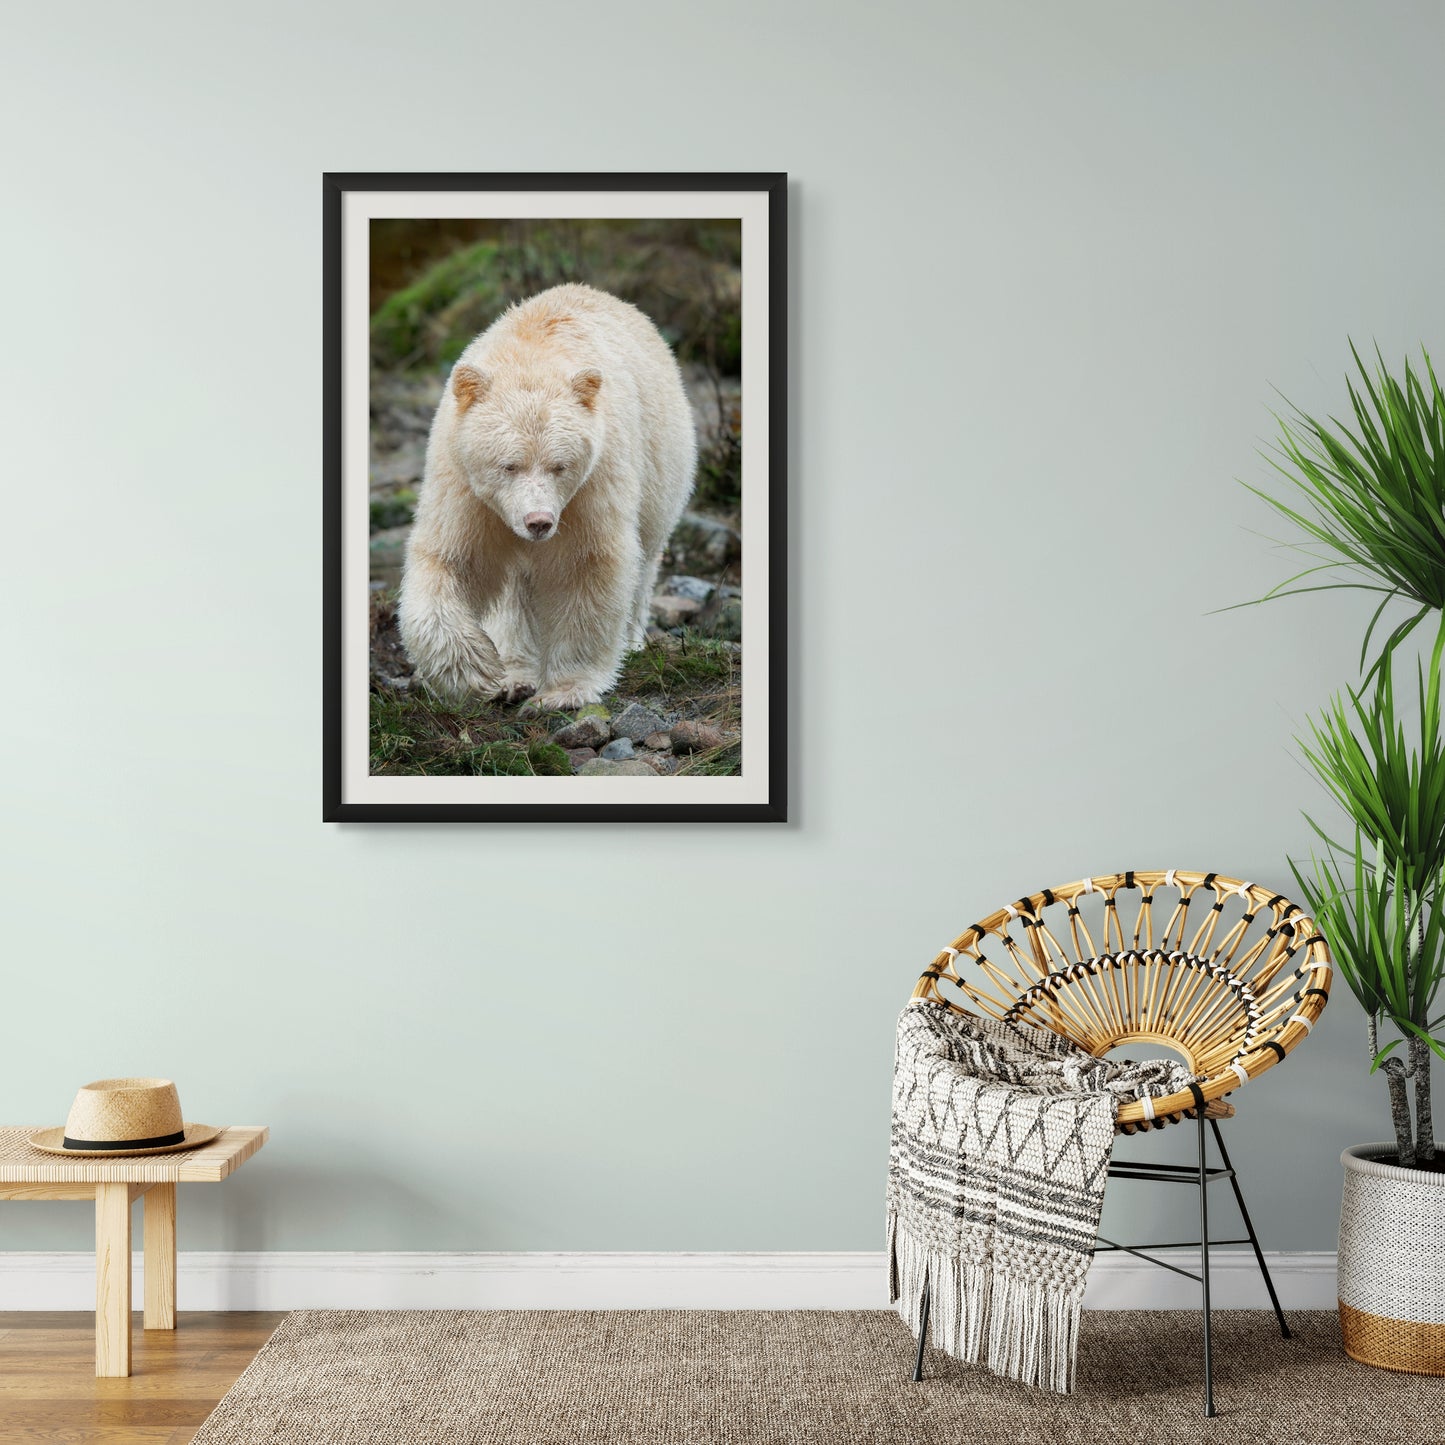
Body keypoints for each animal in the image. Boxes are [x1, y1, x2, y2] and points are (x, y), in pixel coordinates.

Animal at [398, 283, 696, 710]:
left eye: (560, 466)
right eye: (509, 465)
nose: (538, 521)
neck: (531, 354)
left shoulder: (593, 484)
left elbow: (586, 567)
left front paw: (563, 692)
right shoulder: (464, 486)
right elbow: (451, 560)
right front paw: (479, 672)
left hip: (662, 469)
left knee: (645, 561)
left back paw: (630, 641)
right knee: (514, 593)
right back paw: (515, 674)